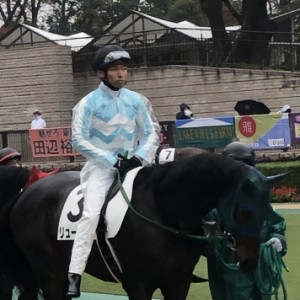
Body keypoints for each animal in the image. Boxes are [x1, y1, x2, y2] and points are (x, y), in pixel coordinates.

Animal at [0, 154, 272, 300]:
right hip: (50, 275)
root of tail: (25, 193)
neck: (162, 209)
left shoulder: (178, 282)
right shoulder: (138, 283)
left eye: (266, 209)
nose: (250, 261)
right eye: (244, 211)